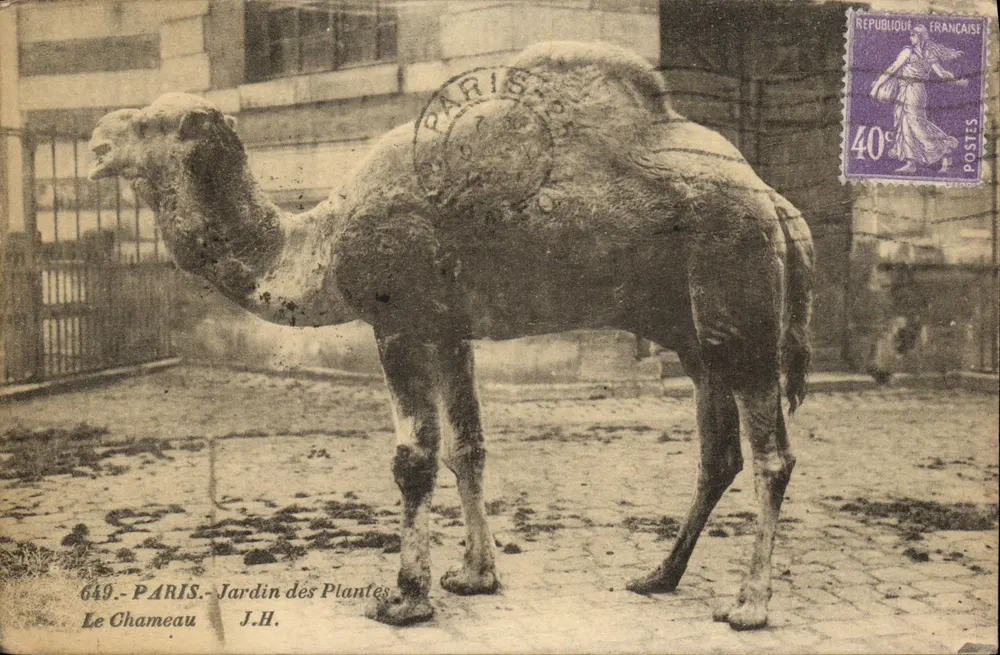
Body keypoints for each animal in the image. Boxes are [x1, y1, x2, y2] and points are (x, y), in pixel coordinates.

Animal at [88, 41, 814, 631]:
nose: (95, 139)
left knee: (770, 455)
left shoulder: (400, 320)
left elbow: (413, 457)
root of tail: (776, 201)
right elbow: (469, 446)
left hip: (738, 294)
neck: (316, 242)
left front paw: (406, 598)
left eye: (150, 123)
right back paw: (659, 575)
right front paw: (473, 575)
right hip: (696, 332)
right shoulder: (448, 329)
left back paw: (749, 605)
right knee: (718, 453)